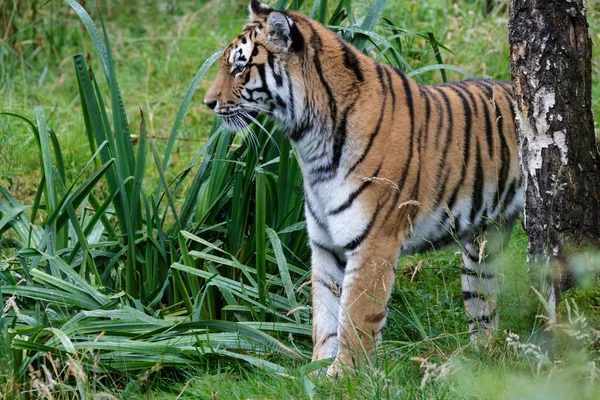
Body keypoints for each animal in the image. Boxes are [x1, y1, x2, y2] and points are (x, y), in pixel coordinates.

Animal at [204, 0, 524, 376]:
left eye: (239, 68)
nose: (208, 103)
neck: (309, 143)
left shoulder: (374, 241)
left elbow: (356, 319)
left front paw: (343, 377)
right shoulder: (325, 244)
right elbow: (326, 315)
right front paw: (317, 371)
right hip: (481, 249)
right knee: (484, 306)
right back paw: (480, 359)